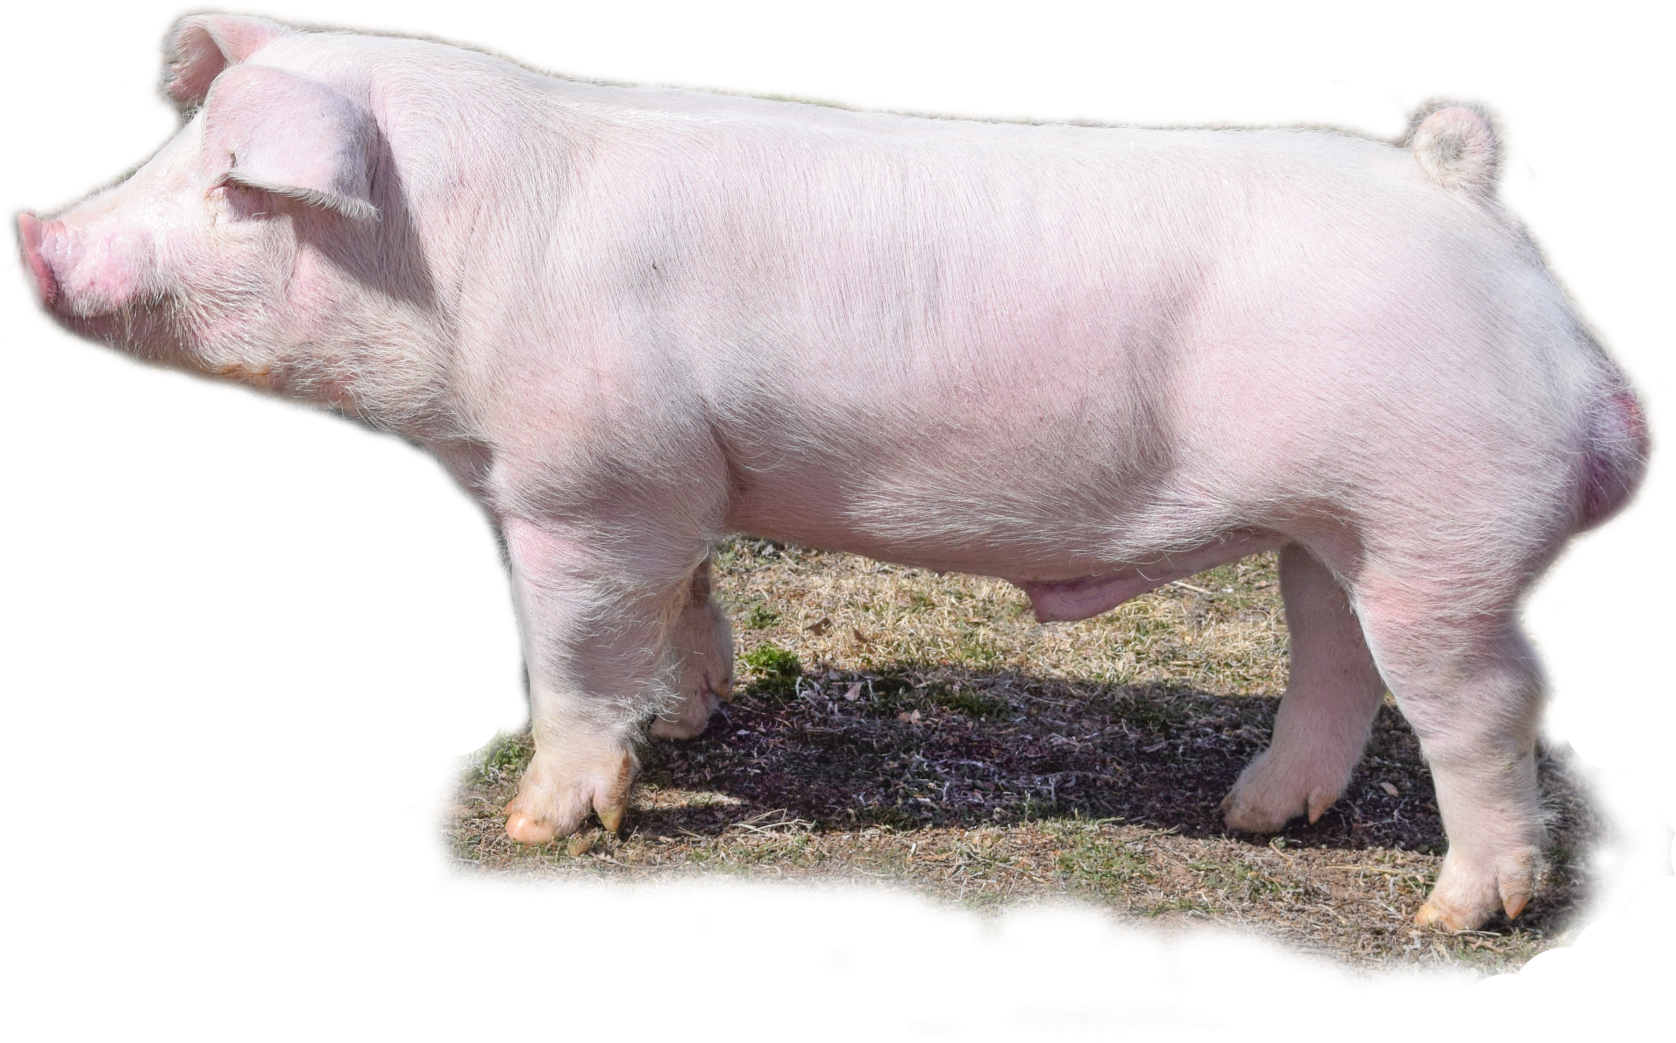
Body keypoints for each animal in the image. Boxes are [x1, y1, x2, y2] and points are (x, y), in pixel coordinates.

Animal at [10, 12, 1655, 933]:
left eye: (238, 189)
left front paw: (546, 824)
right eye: (173, 154)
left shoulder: (584, 483)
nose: (27, 229)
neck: (456, 275)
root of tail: (1465, 192)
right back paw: (1258, 818)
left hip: (1440, 523)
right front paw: (692, 719)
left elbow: (573, 649)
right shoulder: (673, 483)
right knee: (1334, 657)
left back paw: (1454, 914)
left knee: (1490, 698)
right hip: (1337, 524)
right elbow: (685, 602)